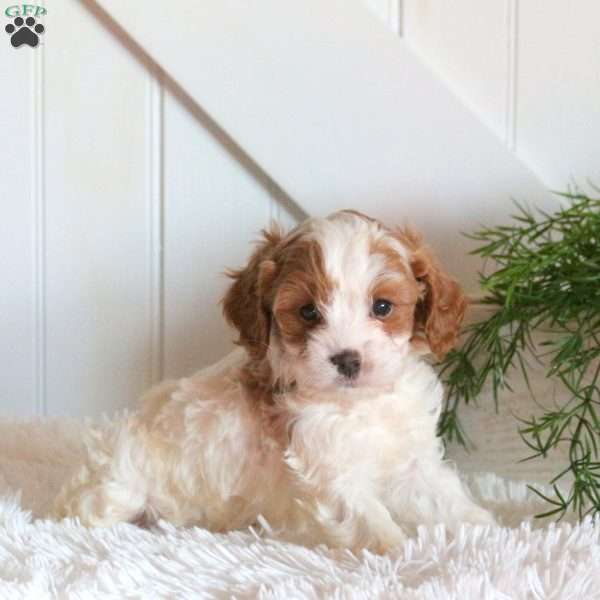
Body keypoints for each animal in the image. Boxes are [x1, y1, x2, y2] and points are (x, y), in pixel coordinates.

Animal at [52, 211, 492, 552]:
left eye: (382, 306)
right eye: (308, 312)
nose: (347, 360)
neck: (359, 403)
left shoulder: (410, 457)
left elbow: (441, 495)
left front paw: (482, 529)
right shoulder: (328, 470)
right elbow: (369, 517)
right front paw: (399, 553)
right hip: (117, 487)